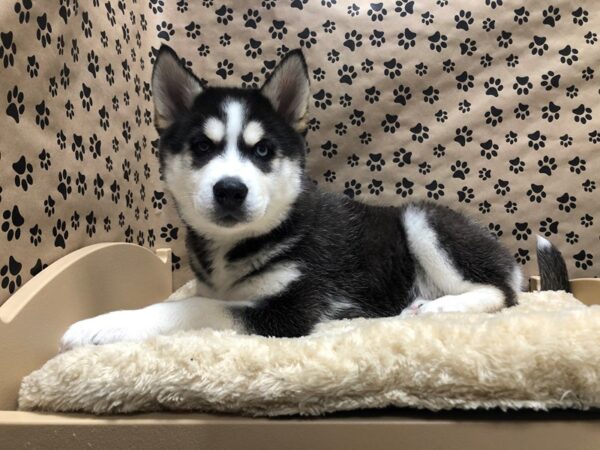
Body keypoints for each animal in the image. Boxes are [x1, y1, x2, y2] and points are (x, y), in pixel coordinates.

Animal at [59, 45, 568, 350]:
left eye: (263, 150)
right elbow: (190, 299)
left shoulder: (289, 312)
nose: (230, 190)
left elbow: (190, 308)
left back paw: (437, 307)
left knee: (501, 294)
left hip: (422, 221)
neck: (243, 244)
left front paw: (104, 324)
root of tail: (506, 258)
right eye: (202, 147)